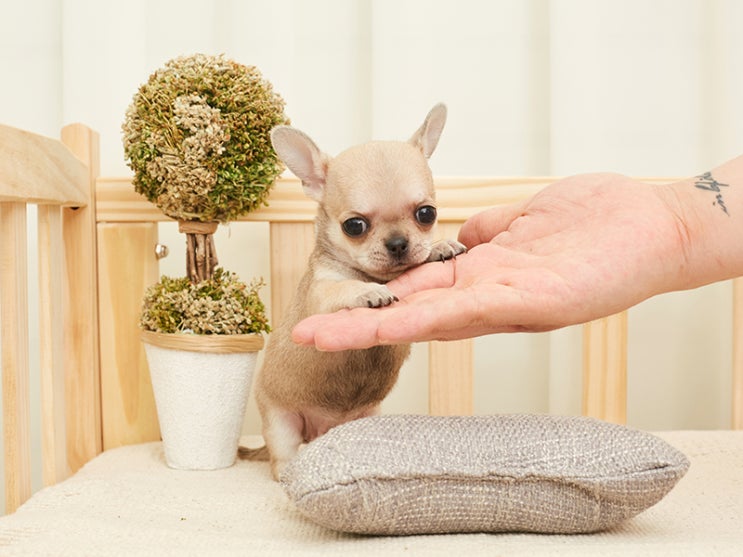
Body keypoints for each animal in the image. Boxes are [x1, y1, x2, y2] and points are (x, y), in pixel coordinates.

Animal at [250, 104, 464, 478]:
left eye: (427, 214)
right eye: (354, 226)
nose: (398, 243)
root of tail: (317, 429)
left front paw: (439, 247)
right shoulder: (321, 294)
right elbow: (346, 286)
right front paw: (367, 293)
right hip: (280, 420)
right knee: (282, 454)